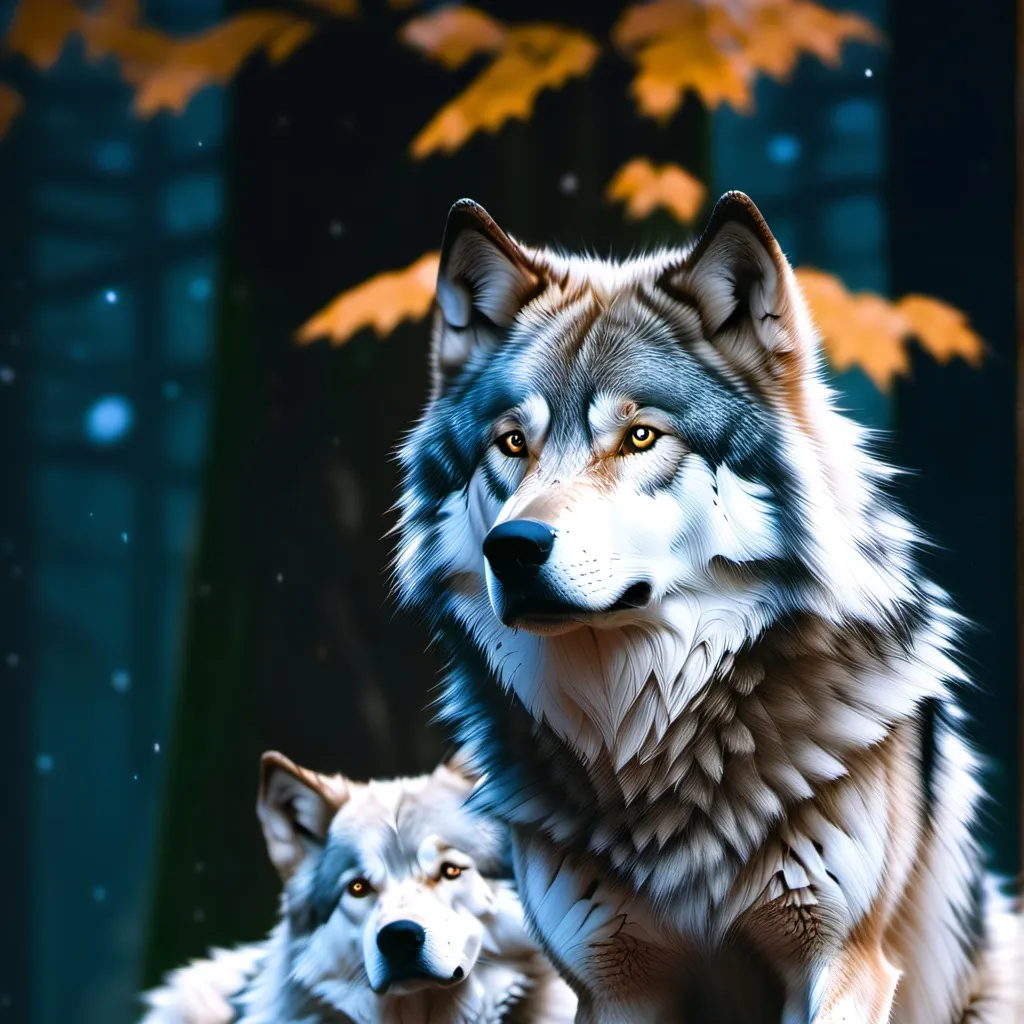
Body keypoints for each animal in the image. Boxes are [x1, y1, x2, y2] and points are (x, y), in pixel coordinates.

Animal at [393, 192, 1020, 1023]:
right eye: (512, 444)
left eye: (640, 436)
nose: (513, 547)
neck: (649, 737)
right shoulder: (612, 981)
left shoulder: (843, 961)